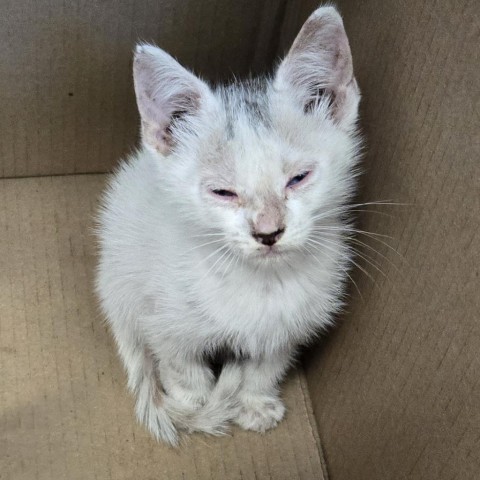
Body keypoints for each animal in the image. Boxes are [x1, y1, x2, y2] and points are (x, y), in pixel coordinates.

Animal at [95, 5, 360, 444]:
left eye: (299, 178)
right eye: (223, 192)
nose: (268, 231)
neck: (259, 283)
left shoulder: (292, 325)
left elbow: (267, 364)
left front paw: (254, 403)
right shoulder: (162, 319)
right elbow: (181, 366)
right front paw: (198, 408)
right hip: (122, 281)